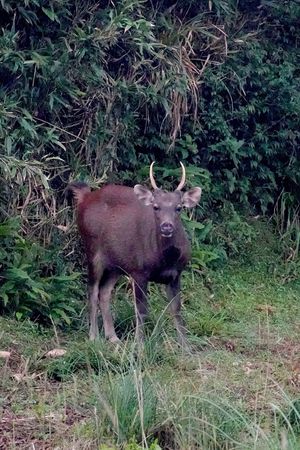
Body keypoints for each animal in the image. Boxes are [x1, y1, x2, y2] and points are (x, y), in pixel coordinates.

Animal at [68, 163, 202, 346]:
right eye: (155, 206)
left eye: (179, 207)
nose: (166, 226)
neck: (164, 260)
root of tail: (85, 196)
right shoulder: (139, 271)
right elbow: (141, 310)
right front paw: (140, 344)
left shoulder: (176, 274)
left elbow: (176, 309)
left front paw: (185, 346)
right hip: (93, 249)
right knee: (92, 290)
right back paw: (94, 337)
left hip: (117, 263)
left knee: (104, 291)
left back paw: (113, 337)